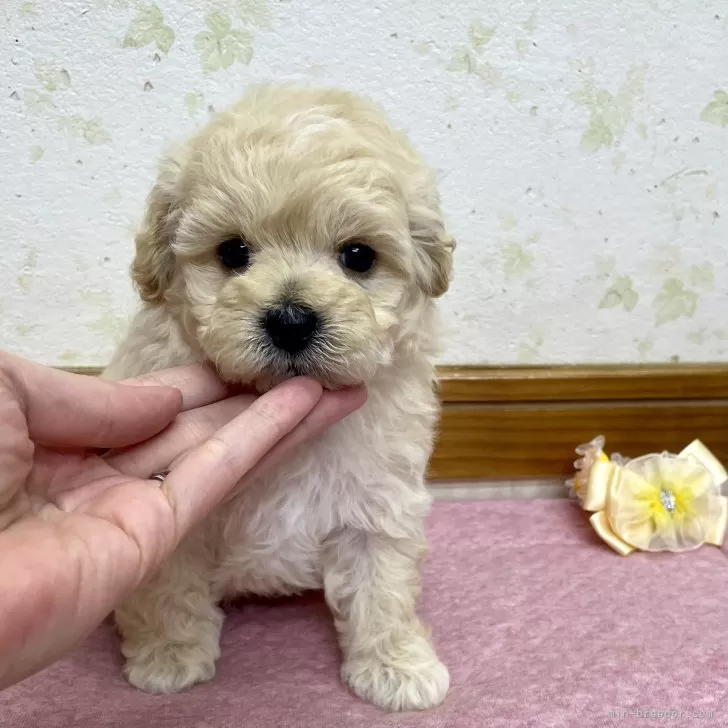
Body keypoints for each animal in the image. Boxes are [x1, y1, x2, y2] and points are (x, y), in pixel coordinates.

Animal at [104, 86, 456, 712]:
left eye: (358, 257)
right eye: (233, 252)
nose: (291, 321)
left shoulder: (379, 497)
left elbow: (383, 587)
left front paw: (396, 666)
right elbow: (168, 587)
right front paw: (170, 656)